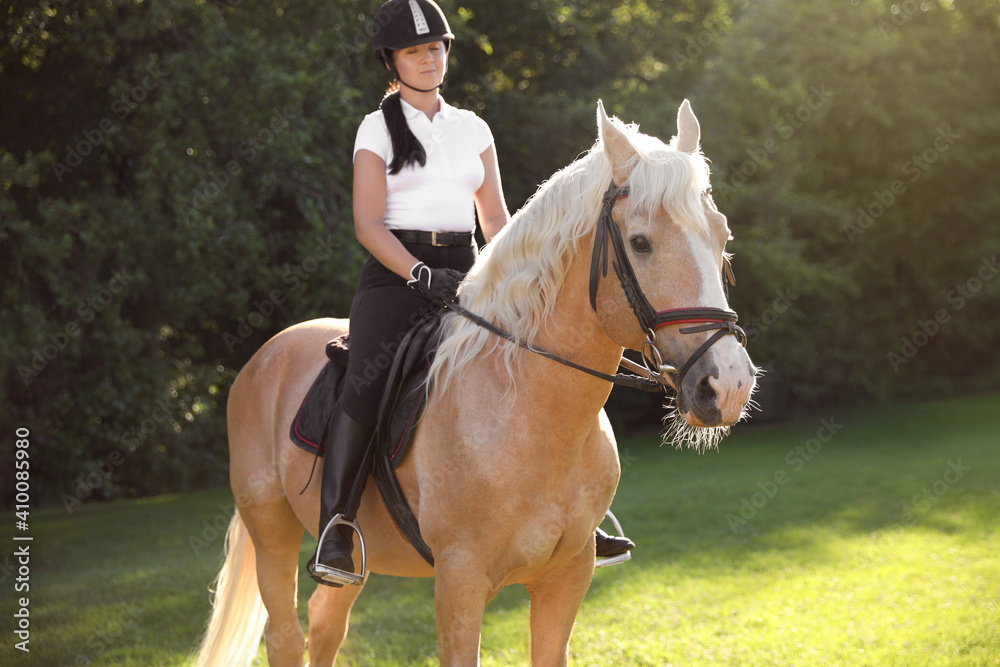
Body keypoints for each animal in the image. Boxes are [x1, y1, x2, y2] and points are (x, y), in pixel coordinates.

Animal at [195, 99, 757, 666]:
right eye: (641, 243)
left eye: (722, 236)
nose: (728, 385)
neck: (528, 410)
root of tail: (265, 355)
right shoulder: (459, 582)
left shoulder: (566, 578)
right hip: (273, 532)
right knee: (285, 635)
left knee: (325, 623)